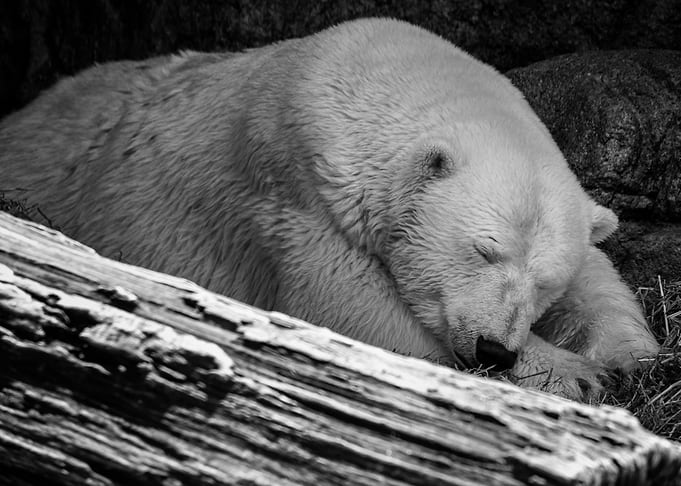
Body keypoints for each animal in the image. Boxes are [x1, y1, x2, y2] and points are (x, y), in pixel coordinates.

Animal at [0, 18, 659, 400]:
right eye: (483, 249)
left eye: (545, 282)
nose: (495, 349)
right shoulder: (298, 190)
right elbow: (356, 312)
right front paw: (575, 374)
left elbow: (601, 277)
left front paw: (625, 359)